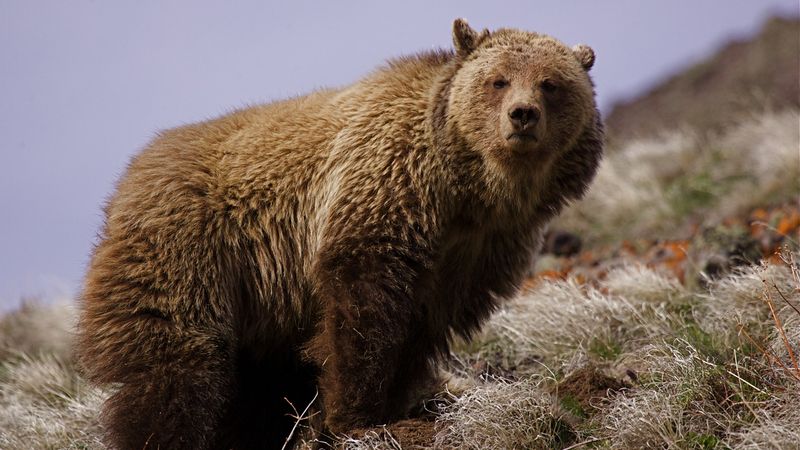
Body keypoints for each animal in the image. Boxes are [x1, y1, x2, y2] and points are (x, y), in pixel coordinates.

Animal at [75, 18, 604, 450]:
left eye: (550, 84)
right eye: (498, 80)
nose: (522, 115)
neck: (467, 190)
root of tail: (129, 178)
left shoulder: (478, 251)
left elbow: (423, 324)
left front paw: (396, 404)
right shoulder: (384, 186)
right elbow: (363, 305)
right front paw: (358, 416)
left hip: (262, 302)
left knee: (257, 383)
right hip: (185, 249)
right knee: (177, 362)